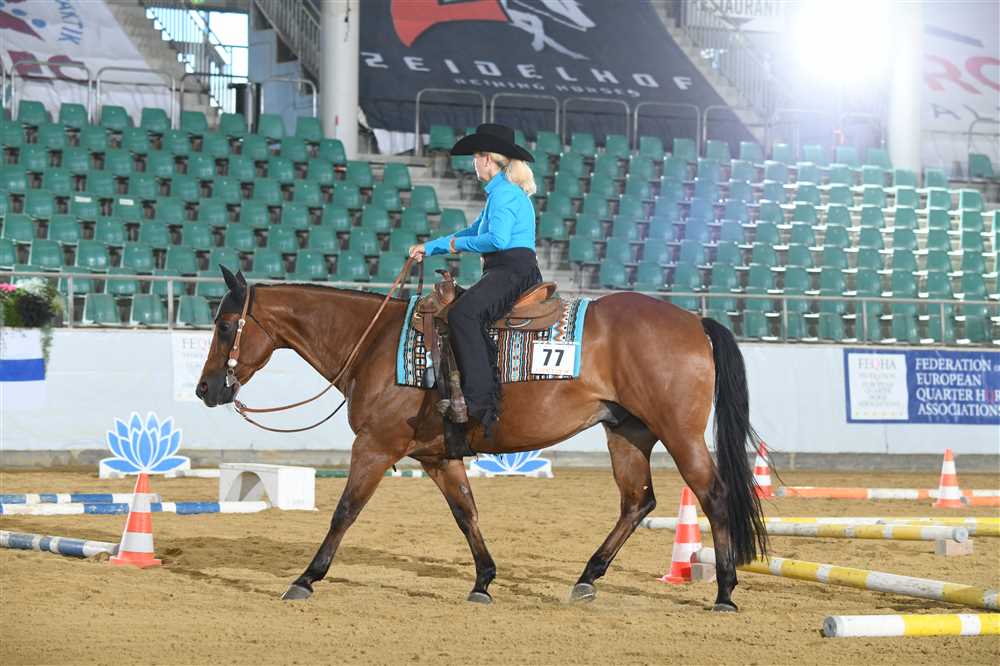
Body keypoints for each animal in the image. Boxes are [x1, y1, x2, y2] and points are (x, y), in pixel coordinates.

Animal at [196, 266, 768, 610]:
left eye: (225, 325)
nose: (205, 389)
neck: (375, 343)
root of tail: (693, 319)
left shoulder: (375, 448)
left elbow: (345, 511)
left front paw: (305, 578)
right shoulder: (437, 458)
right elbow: (466, 512)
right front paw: (483, 581)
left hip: (680, 434)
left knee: (713, 495)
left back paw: (724, 592)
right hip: (627, 433)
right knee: (637, 502)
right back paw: (587, 578)